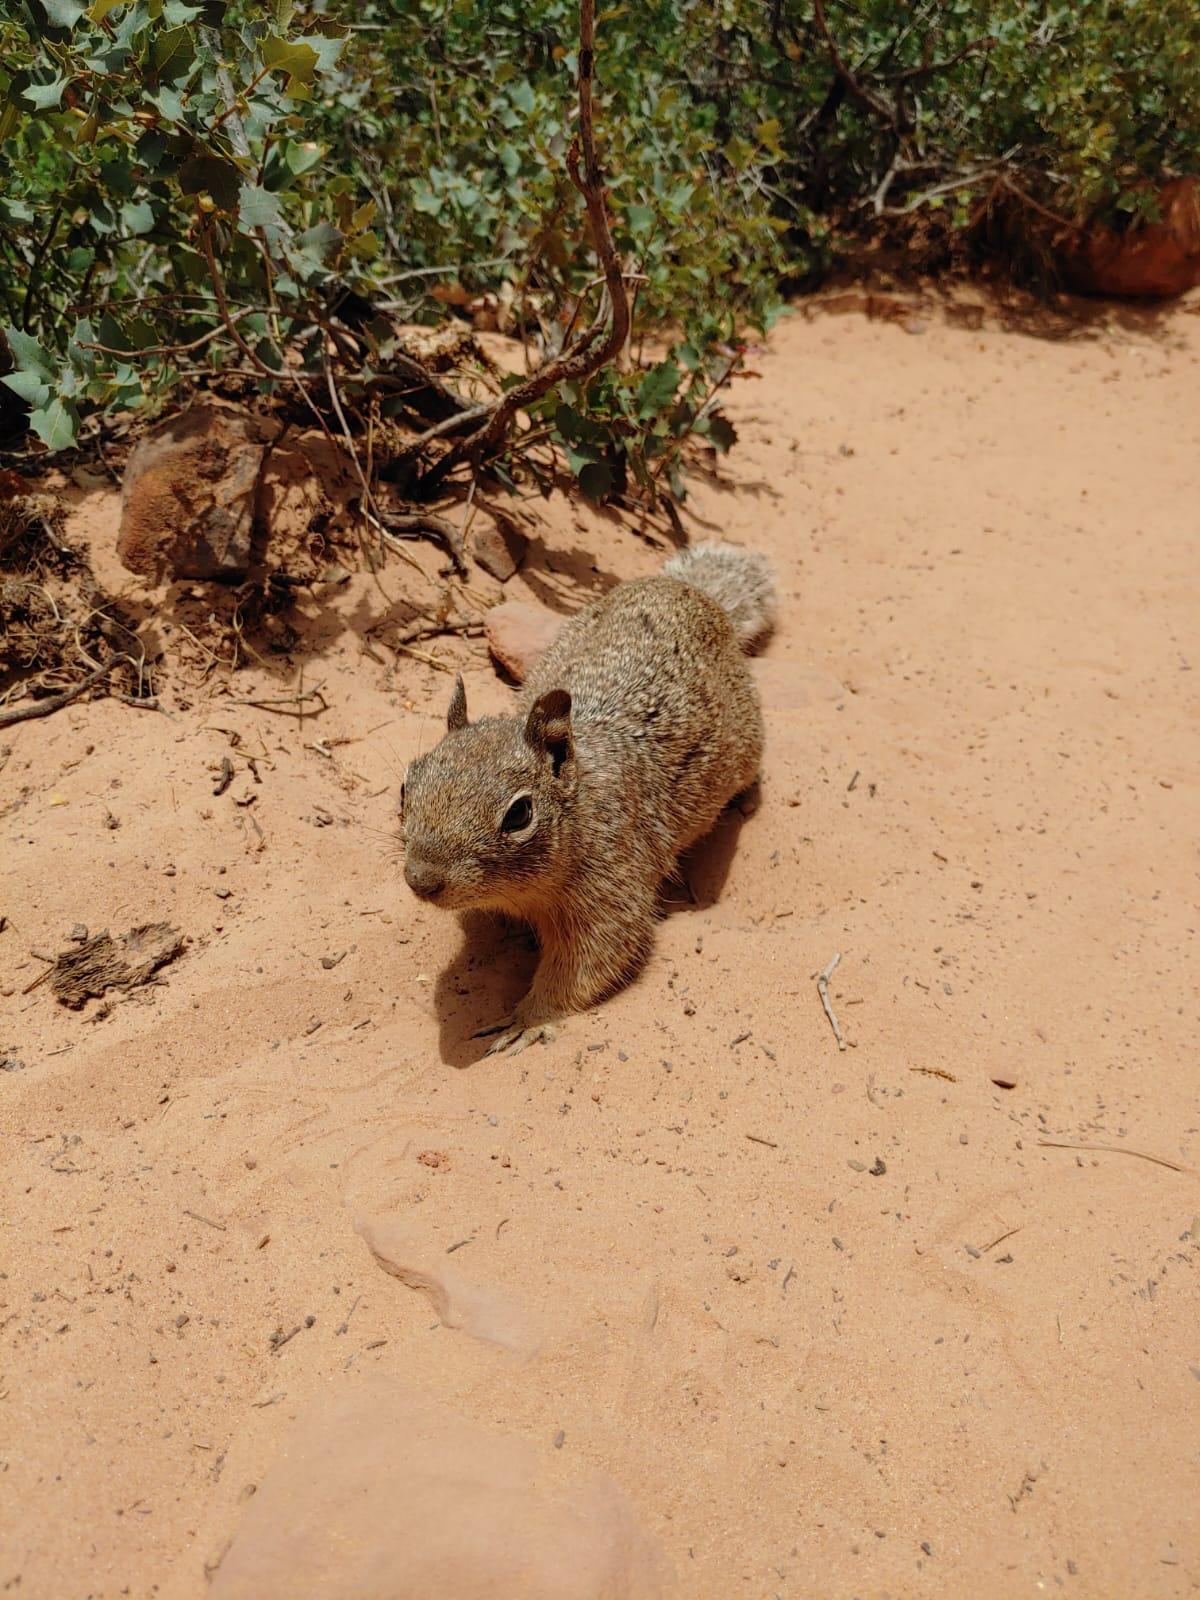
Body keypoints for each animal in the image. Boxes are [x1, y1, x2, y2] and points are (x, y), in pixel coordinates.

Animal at [400, 542, 776, 1055]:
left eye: (519, 814)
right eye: (406, 784)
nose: (420, 880)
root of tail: (691, 590)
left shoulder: (612, 890)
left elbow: (587, 963)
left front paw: (528, 1019)